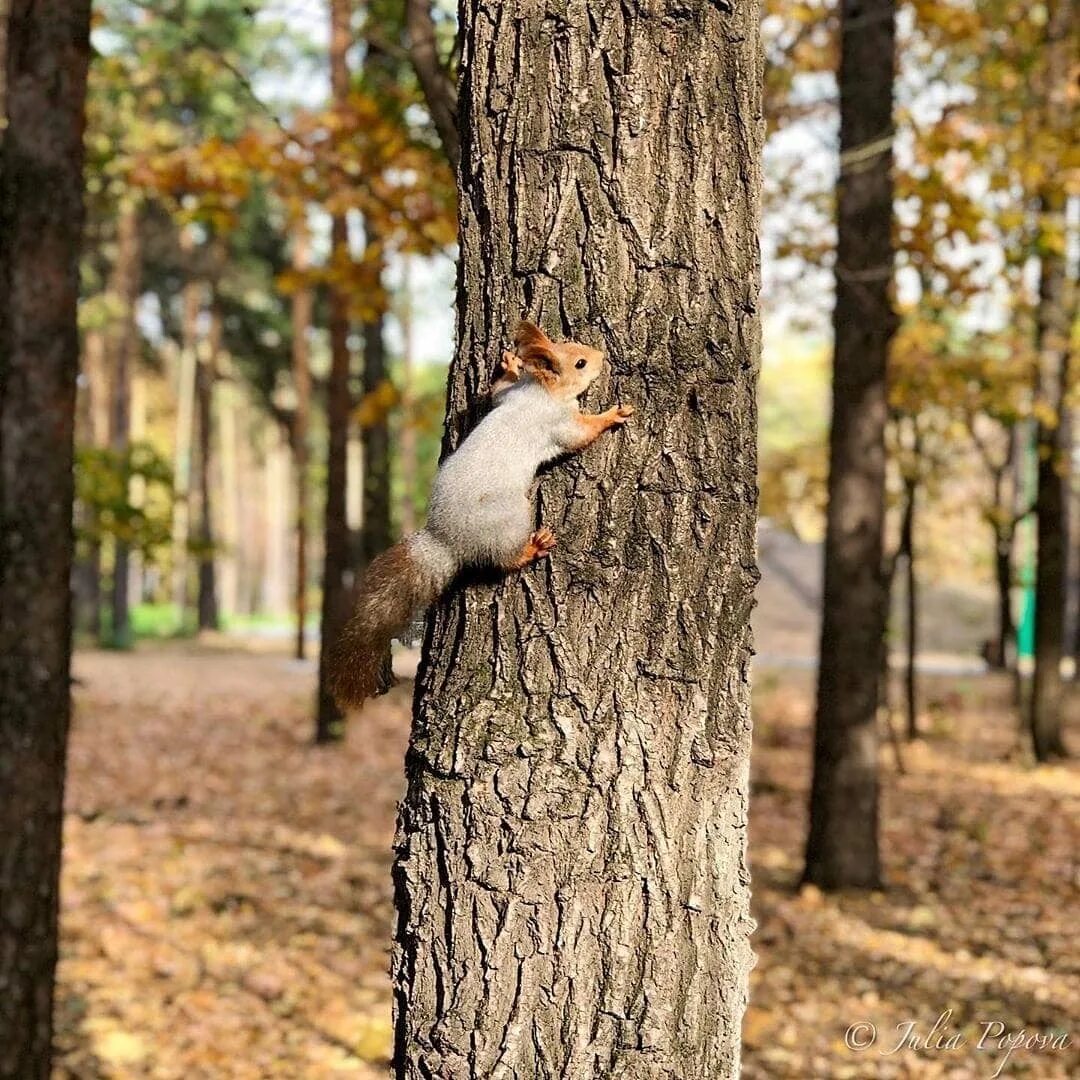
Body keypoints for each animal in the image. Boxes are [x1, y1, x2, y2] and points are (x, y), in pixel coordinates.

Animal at [328, 317, 630, 708]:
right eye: (580, 363)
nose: (601, 356)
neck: (540, 392)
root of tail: (445, 541)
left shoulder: (509, 397)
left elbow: (495, 393)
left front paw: (510, 365)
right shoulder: (558, 424)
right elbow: (581, 434)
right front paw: (612, 415)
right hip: (511, 516)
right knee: (503, 559)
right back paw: (533, 547)